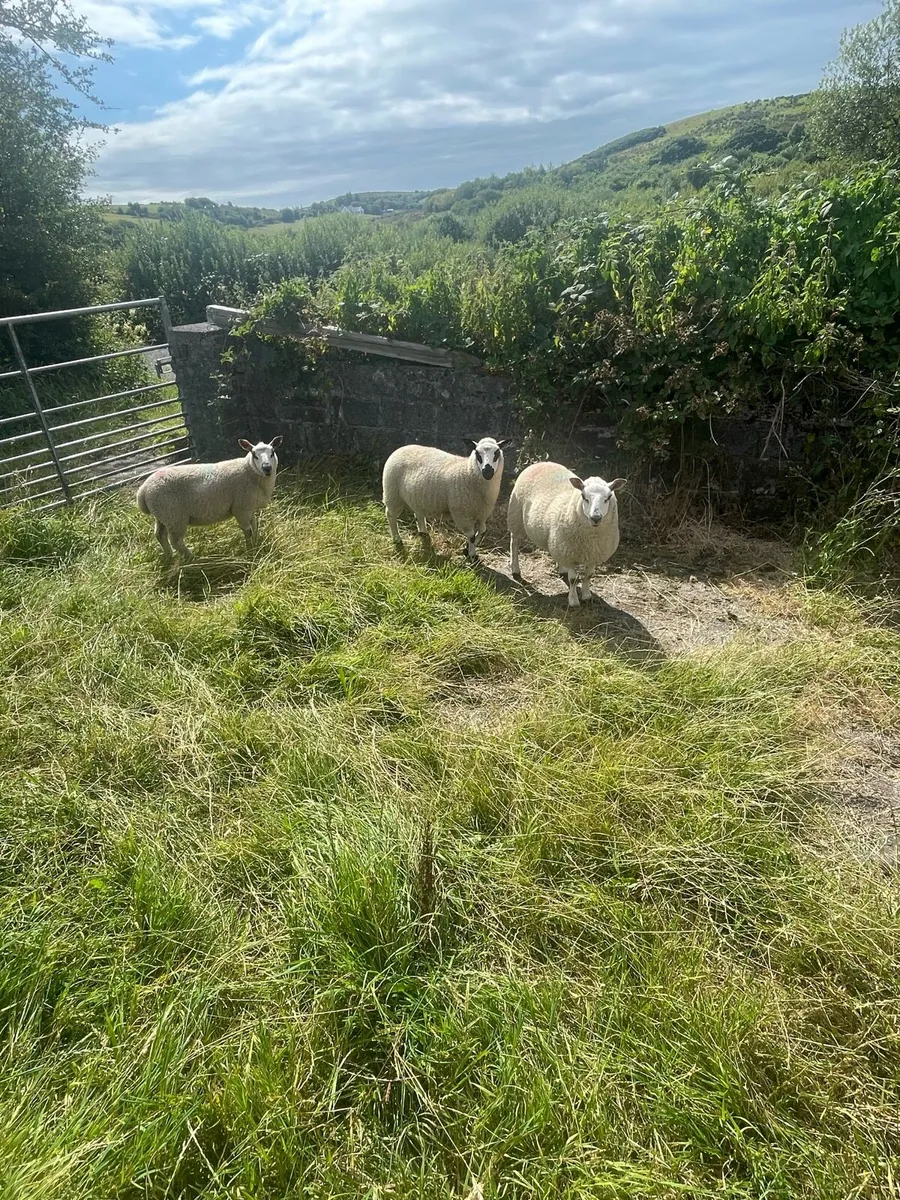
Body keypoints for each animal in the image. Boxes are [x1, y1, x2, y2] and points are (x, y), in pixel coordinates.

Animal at [136, 436, 283, 561]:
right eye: (254, 454)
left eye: (272, 452)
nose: (267, 468)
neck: (250, 472)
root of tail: (143, 490)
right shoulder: (240, 509)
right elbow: (248, 531)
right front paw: (250, 549)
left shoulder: (249, 508)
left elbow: (255, 526)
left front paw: (257, 542)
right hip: (175, 517)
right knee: (176, 541)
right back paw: (192, 558)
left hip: (163, 516)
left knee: (159, 535)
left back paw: (169, 555)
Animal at [382, 436, 512, 560]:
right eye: (477, 453)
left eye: (497, 452)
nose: (487, 471)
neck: (467, 472)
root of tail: (401, 448)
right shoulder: (462, 515)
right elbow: (471, 535)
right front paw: (472, 555)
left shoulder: (482, 514)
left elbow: (482, 532)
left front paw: (467, 548)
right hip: (393, 494)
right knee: (391, 515)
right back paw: (397, 539)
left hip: (416, 497)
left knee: (418, 513)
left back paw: (423, 532)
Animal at [507, 461, 625, 607]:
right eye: (584, 497)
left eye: (608, 498)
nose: (596, 517)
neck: (591, 539)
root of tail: (541, 463)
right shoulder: (570, 555)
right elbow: (573, 579)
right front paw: (573, 601)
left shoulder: (594, 554)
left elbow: (588, 576)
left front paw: (587, 596)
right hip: (516, 517)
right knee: (514, 543)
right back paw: (515, 569)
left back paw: (561, 568)